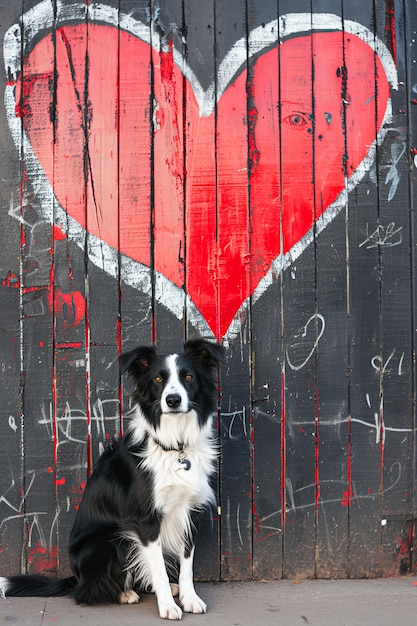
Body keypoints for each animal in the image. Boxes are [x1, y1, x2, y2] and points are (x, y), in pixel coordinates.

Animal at [0, 338, 224, 616]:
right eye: (158, 379)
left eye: (189, 377)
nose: (173, 400)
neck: (175, 447)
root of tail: (76, 577)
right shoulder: (145, 519)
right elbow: (160, 569)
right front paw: (167, 607)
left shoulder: (190, 510)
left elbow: (186, 563)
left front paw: (189, 597)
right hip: (108, 541)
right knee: (86, 592)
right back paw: (124, 594)